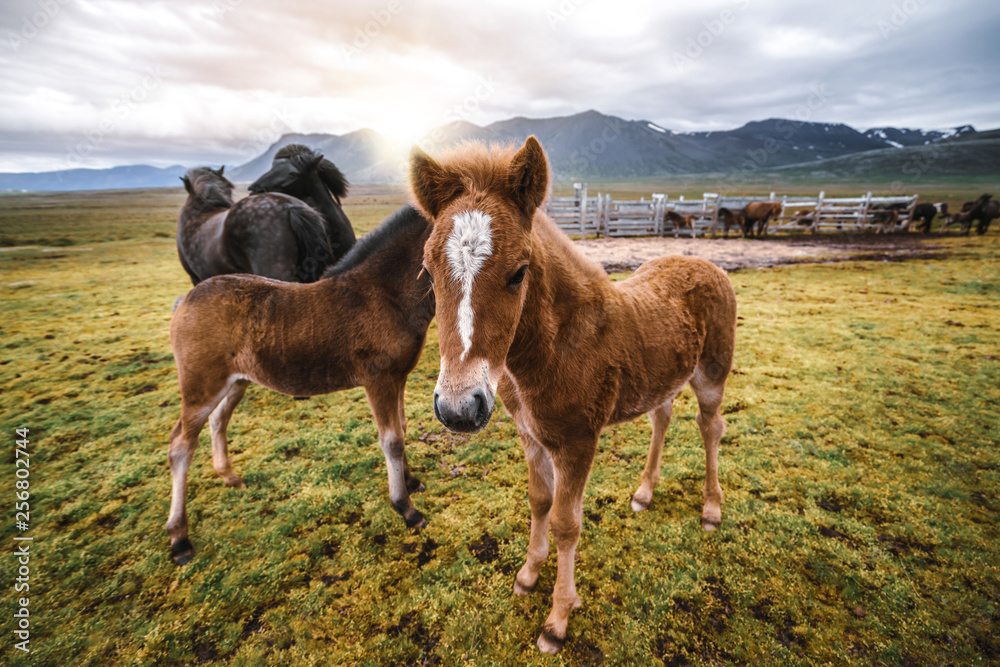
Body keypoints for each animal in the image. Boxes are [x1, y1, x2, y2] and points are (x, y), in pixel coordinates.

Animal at [164, 206, 434, 568]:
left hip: (236, 381)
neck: (385, 294)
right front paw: (406, 508)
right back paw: (179, 537)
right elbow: (391, 440)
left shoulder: (399, 376)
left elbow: (402, 429)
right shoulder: (379, 380)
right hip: (200, 386)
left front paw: (411, 481)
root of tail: (186, 301)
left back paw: (229, 476)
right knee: (181, 444)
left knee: (218, 419)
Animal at [410, 138, 740, 656]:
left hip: (711, 375)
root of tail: (705, 263)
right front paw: (528, 574)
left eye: (518, 272)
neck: (554, 349)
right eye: (427, 270)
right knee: (662, 418)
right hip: (664, 377)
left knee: (711, 428)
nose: (459, 408)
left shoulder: (578, 442)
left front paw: (558, 619)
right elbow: (538, 501)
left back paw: (711, 509)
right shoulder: (531, 436)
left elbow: (568, 523)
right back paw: (644, 493)